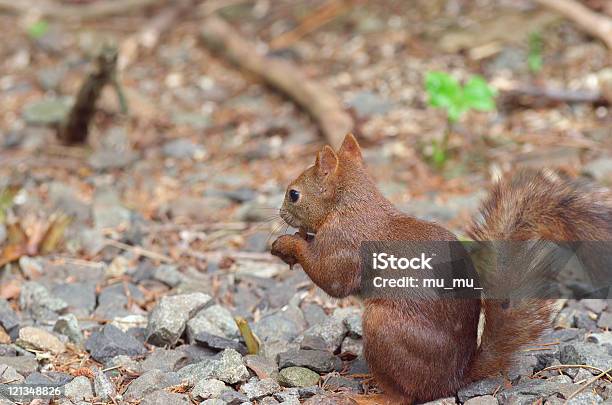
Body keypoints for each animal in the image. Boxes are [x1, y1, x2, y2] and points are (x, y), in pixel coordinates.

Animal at [272, 134, 612, 402]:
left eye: (294, 194)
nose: (281, 213)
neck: (349, 205)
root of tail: (454, 378)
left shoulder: (344, 243)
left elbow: (332, 279)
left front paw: (287, 244)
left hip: (384, 327)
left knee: (406, 396)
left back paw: (368, 396)